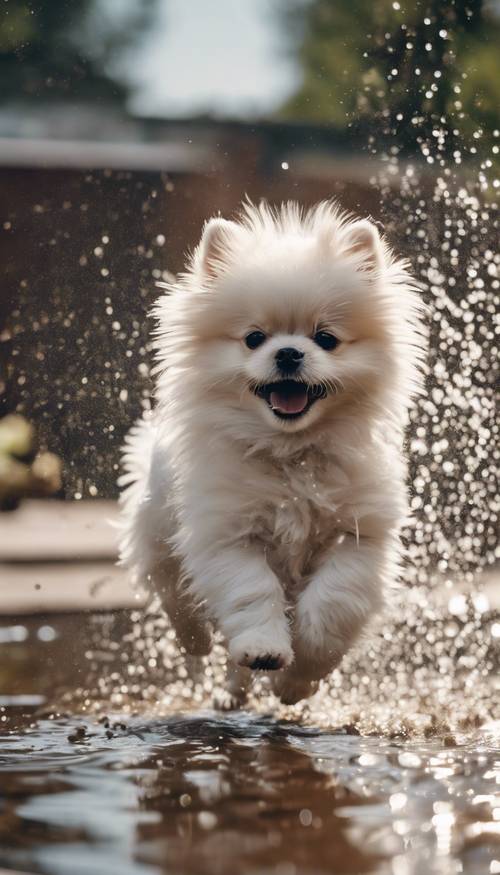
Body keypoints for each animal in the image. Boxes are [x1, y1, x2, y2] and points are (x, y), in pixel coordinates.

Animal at [118, 200, 426, 704]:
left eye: (326, 339)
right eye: (254, 338)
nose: (288, 353)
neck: (291, 457)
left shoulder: (360, 536)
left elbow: (332, 604)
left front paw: (298, 676)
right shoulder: (228, 534)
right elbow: (252, 591)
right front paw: (265, 650)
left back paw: (236, 692)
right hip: (157, 524)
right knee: (172, 590)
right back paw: (196, 641)